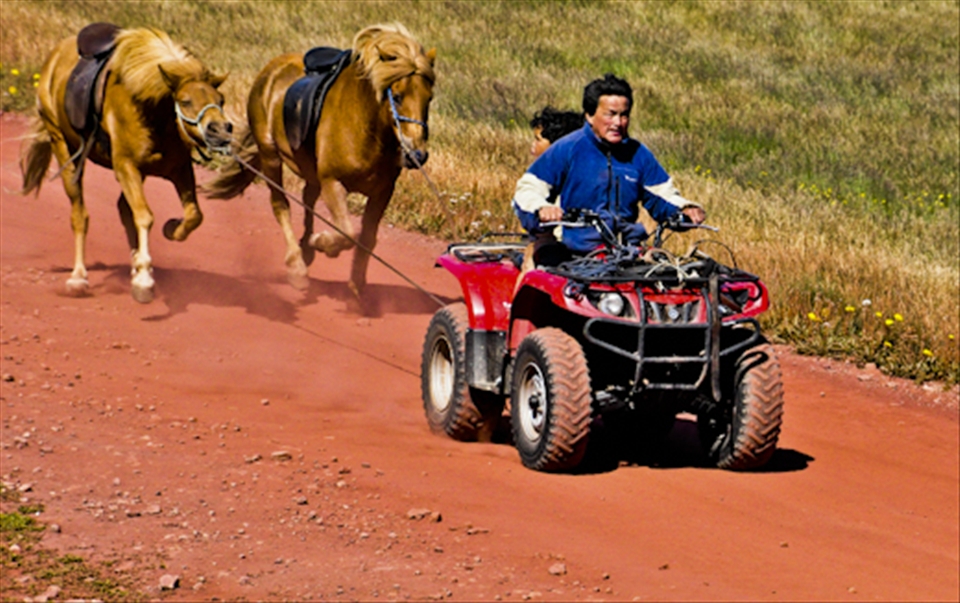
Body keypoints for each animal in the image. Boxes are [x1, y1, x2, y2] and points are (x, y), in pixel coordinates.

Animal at [20, 24, 232, 303]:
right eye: (185, 101)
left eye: (221, 100)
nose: (221, 129)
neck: (151, 111)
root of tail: (54, 57)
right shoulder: (126, 167)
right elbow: (144, 216)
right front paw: (143, 281)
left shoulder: (179, 169)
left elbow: (194, 215)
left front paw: (170, 231)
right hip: (64, 148)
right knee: (80, 214)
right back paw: (79, 277)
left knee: (123, 208)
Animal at [203, 23, 435, 299]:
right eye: (397, 96)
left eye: (429, 98)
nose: (416, 154)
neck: (364, 125)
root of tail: (270, 70)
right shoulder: (332, 182)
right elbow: (347, 232)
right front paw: (323, 244)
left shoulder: (382, 191)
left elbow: (367, 238)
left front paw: (356, 287)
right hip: (271, 157)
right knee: (281, 204)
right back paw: (297, 264)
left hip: (308, 169)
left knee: (307, 199)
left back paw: (306, 249)